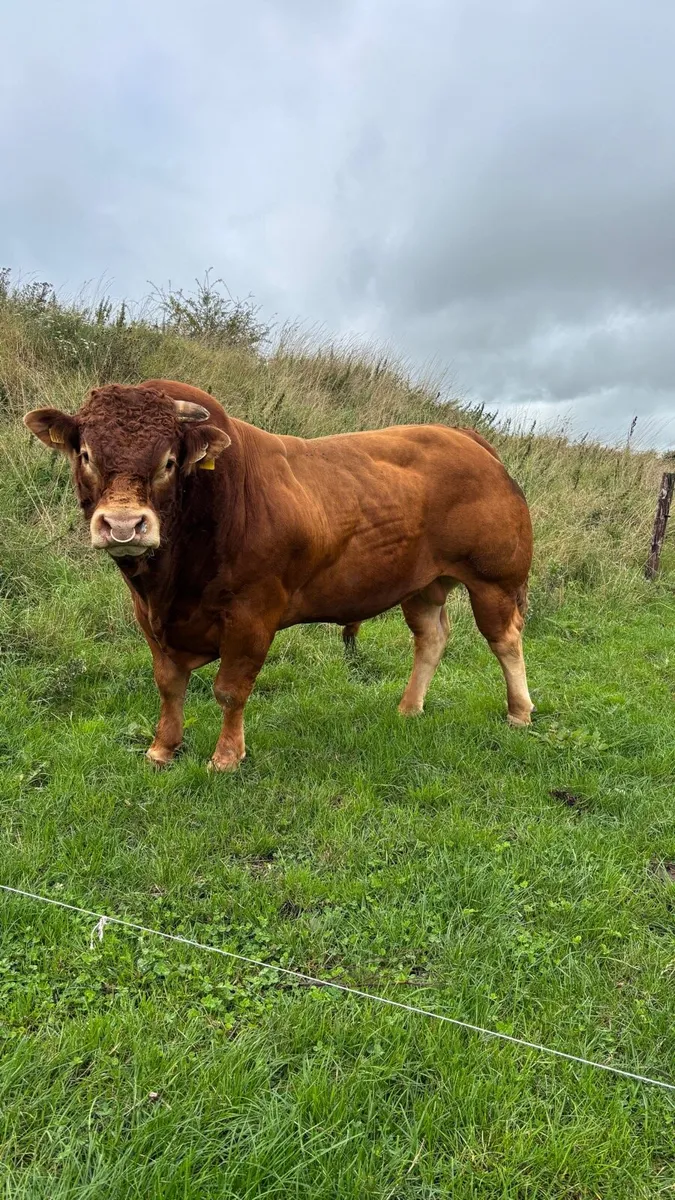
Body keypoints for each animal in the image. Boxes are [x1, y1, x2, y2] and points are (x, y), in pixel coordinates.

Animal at [23, 379, 534, 771]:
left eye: (168, 461)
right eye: (86, 455)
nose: (124, 525)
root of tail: (463, 435)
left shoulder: (252, 614)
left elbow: (230, 690)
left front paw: (226, 757)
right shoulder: (149, 617)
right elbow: (168, 683)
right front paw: (162, 748)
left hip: (494, 580)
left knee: (505, 640)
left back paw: (520, 712)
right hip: (423, 584)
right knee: (431, 637)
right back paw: (409, 709)